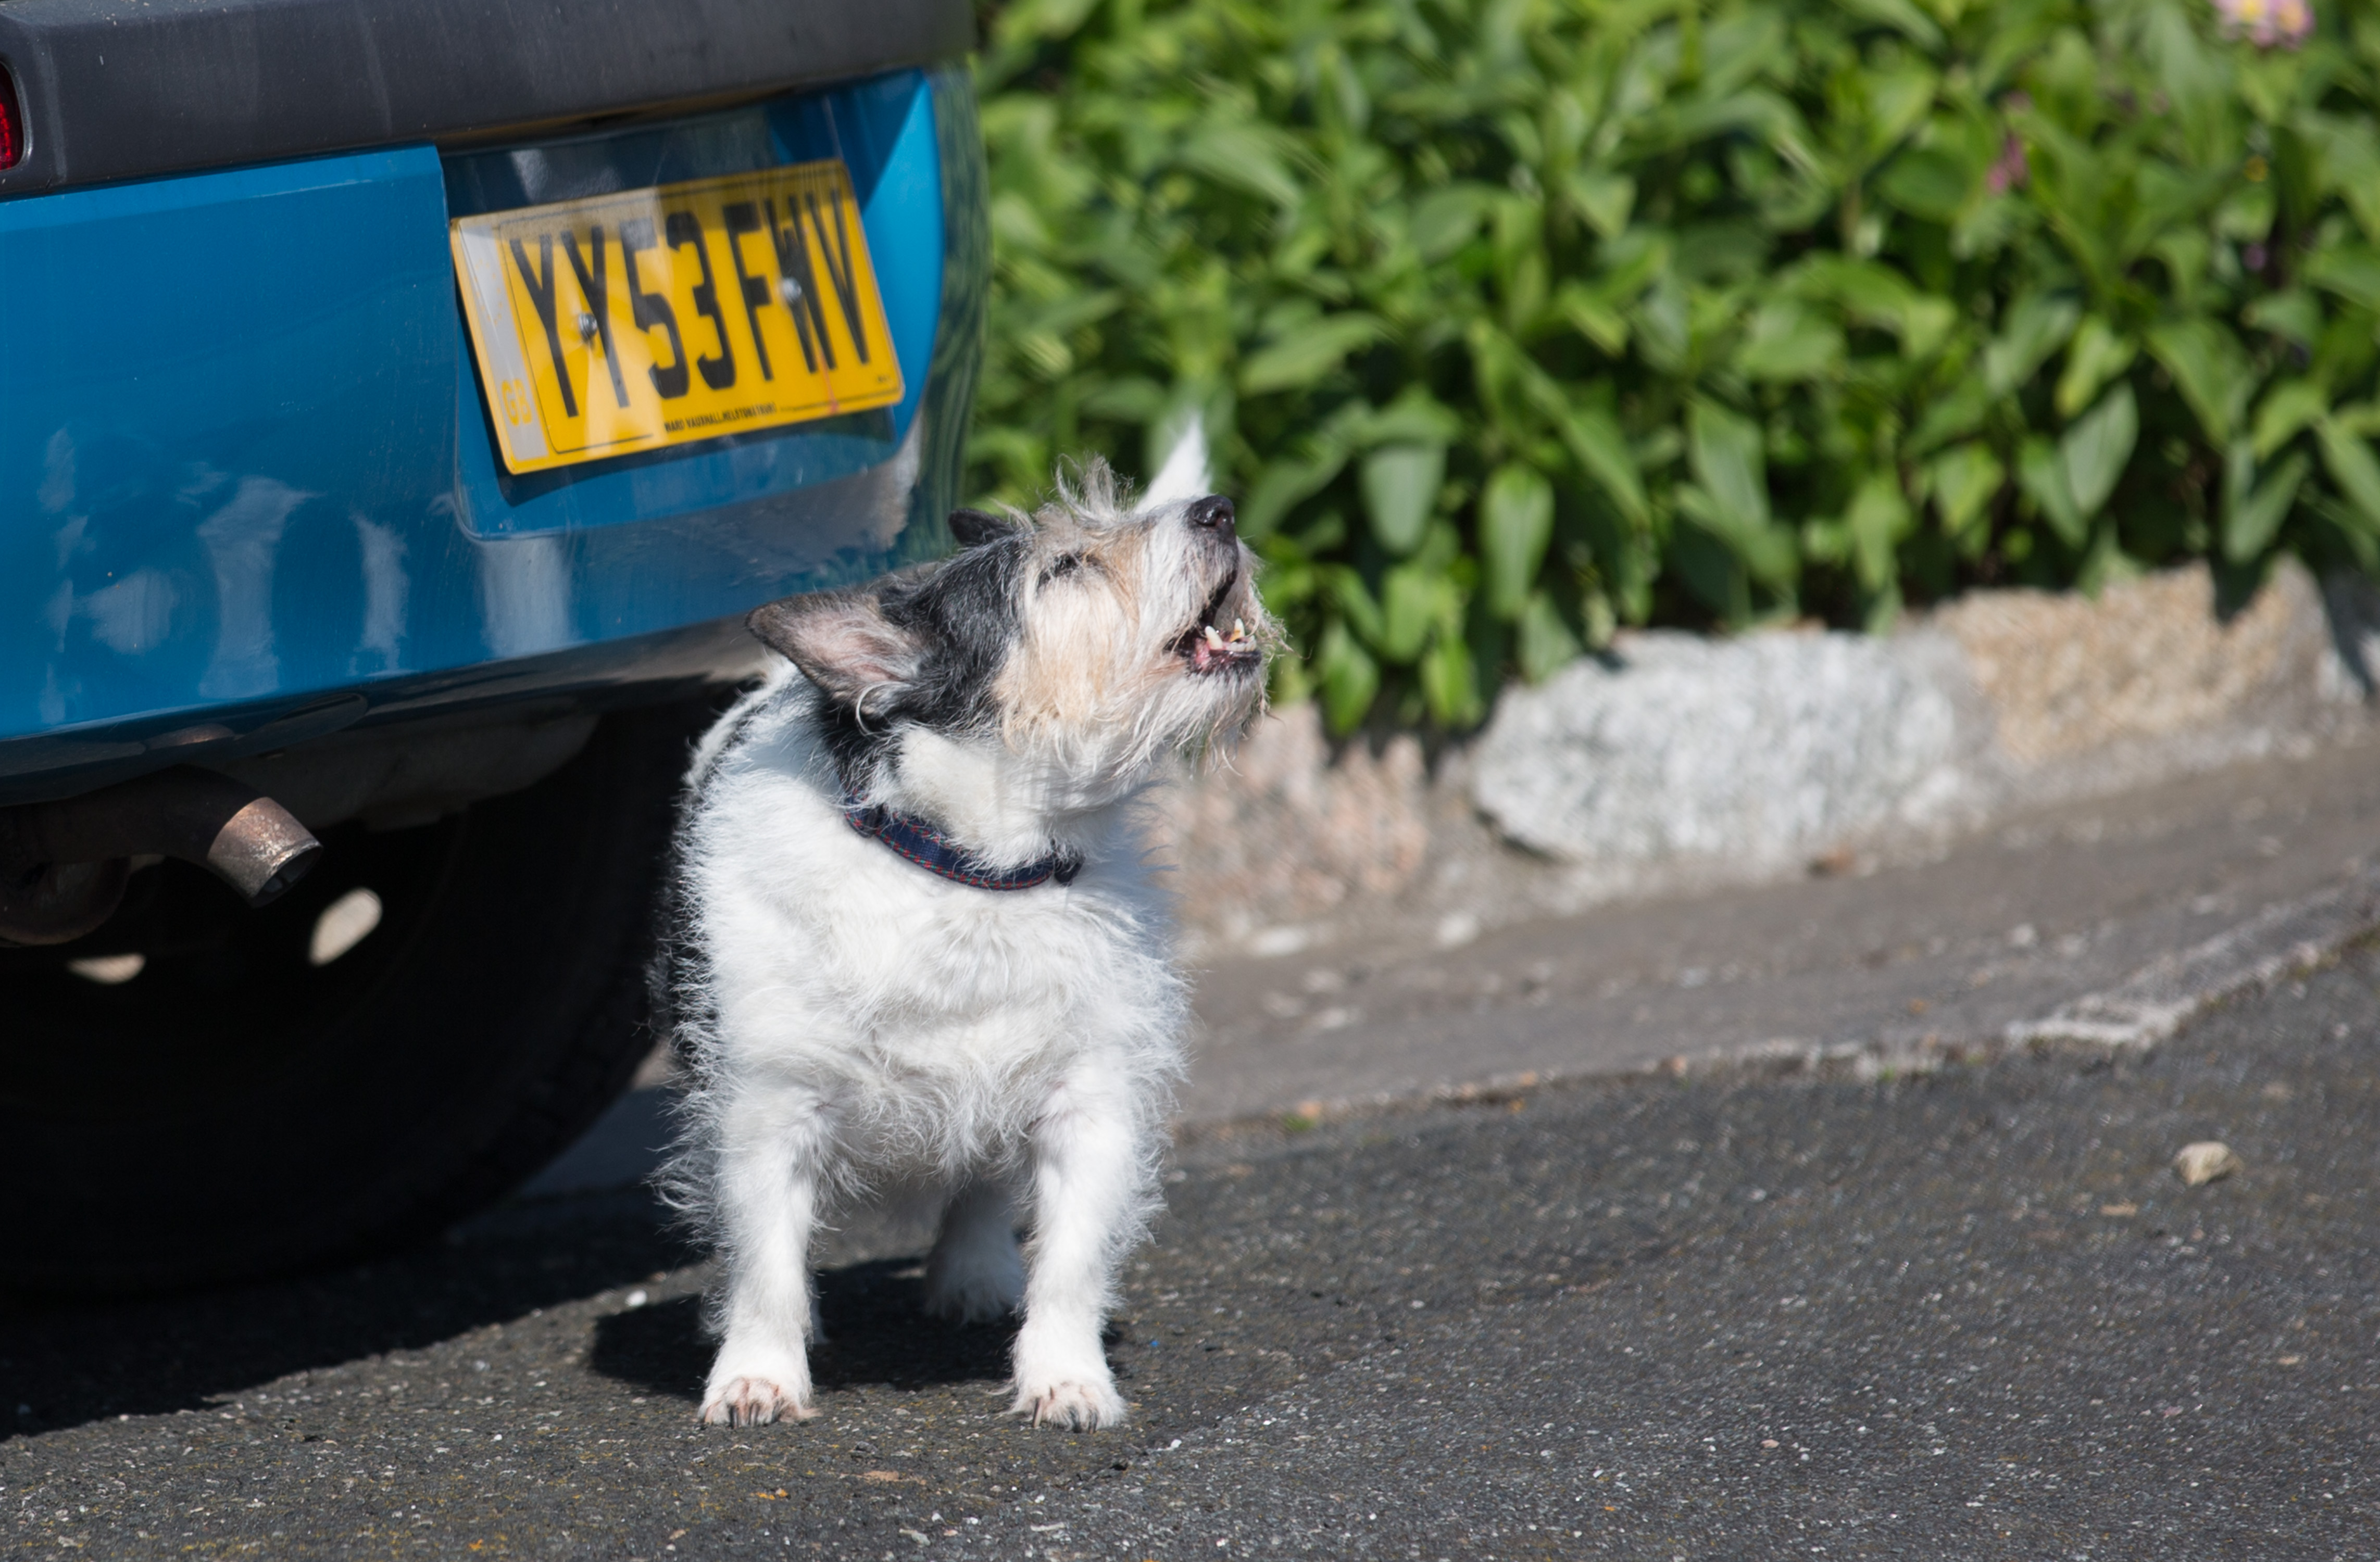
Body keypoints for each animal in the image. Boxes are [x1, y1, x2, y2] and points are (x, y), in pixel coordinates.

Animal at [652, 459, 1275, 1428]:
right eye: (1064, 568)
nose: (1221, 510)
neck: (972, 872)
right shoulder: (766, 1110)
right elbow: (764, 1265)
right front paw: (757, 1375)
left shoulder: (1091, 1102)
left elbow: (1072, 1261)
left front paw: (1066, 1377)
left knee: (980, 1183)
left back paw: (977, 1274)